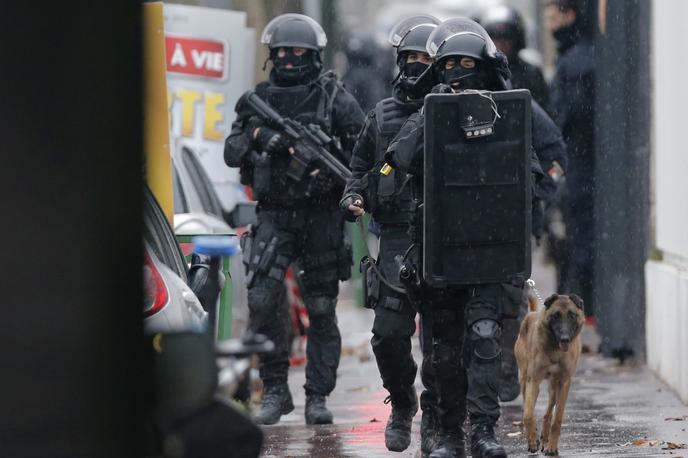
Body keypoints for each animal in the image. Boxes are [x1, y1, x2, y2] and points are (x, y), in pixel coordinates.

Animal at [512, 294, 584, 454]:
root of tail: (532, 313)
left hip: (553, 387)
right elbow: (528, 414)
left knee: (548, 412)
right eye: (555, 316)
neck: (555, 349)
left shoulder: (564, 382)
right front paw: (532, 441)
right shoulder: (533, 380)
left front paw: (552, 446)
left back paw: (545, 438)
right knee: (530, 407)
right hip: (524, 380)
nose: (565, 338)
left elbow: (557, 419)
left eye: (572, 315)